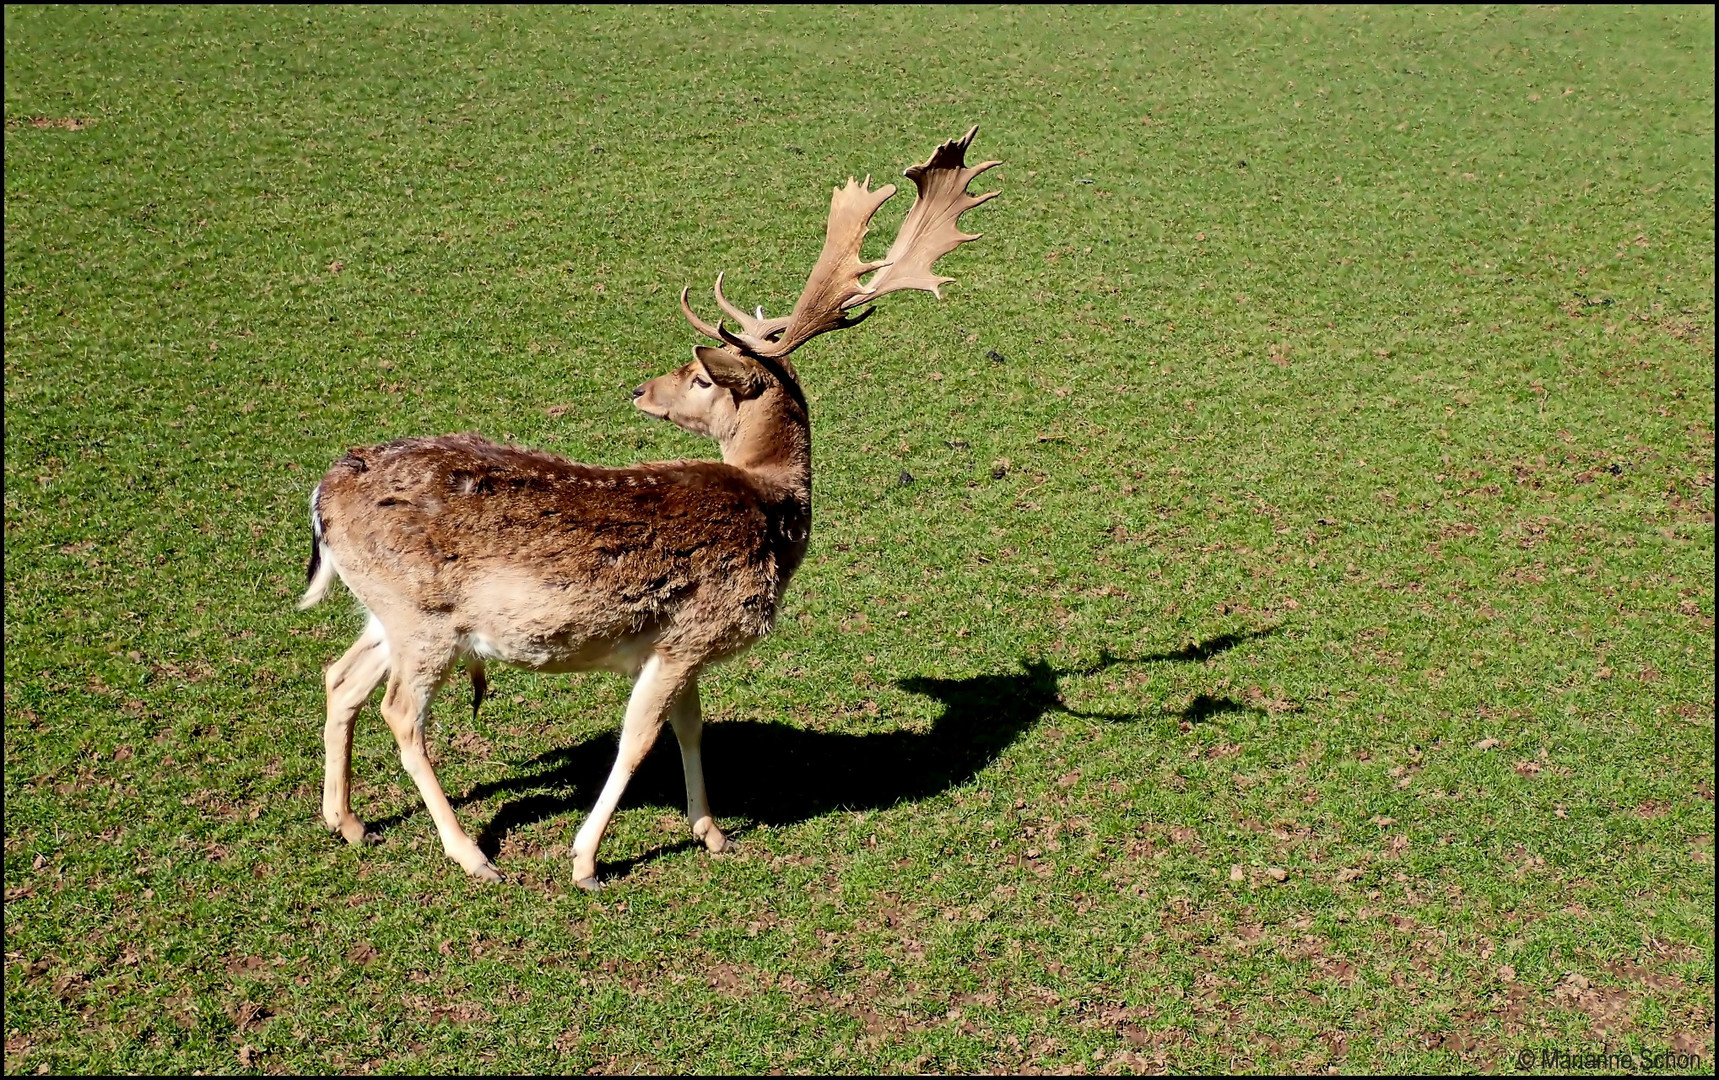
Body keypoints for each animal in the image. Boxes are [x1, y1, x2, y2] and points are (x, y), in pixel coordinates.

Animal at [290, 128, 1003, 887]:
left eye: (700, 378)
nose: (639, 389)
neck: (775, 508)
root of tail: (322, 495)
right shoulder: (695, 631)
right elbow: (637, 740)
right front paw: (584, 860)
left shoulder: (677, 644)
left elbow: (689, 727)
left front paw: (711, 833)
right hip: (423, 621)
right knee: (400, 714)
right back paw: (470, 854)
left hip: (388, 613)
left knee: (340, 677)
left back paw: (347, 822)